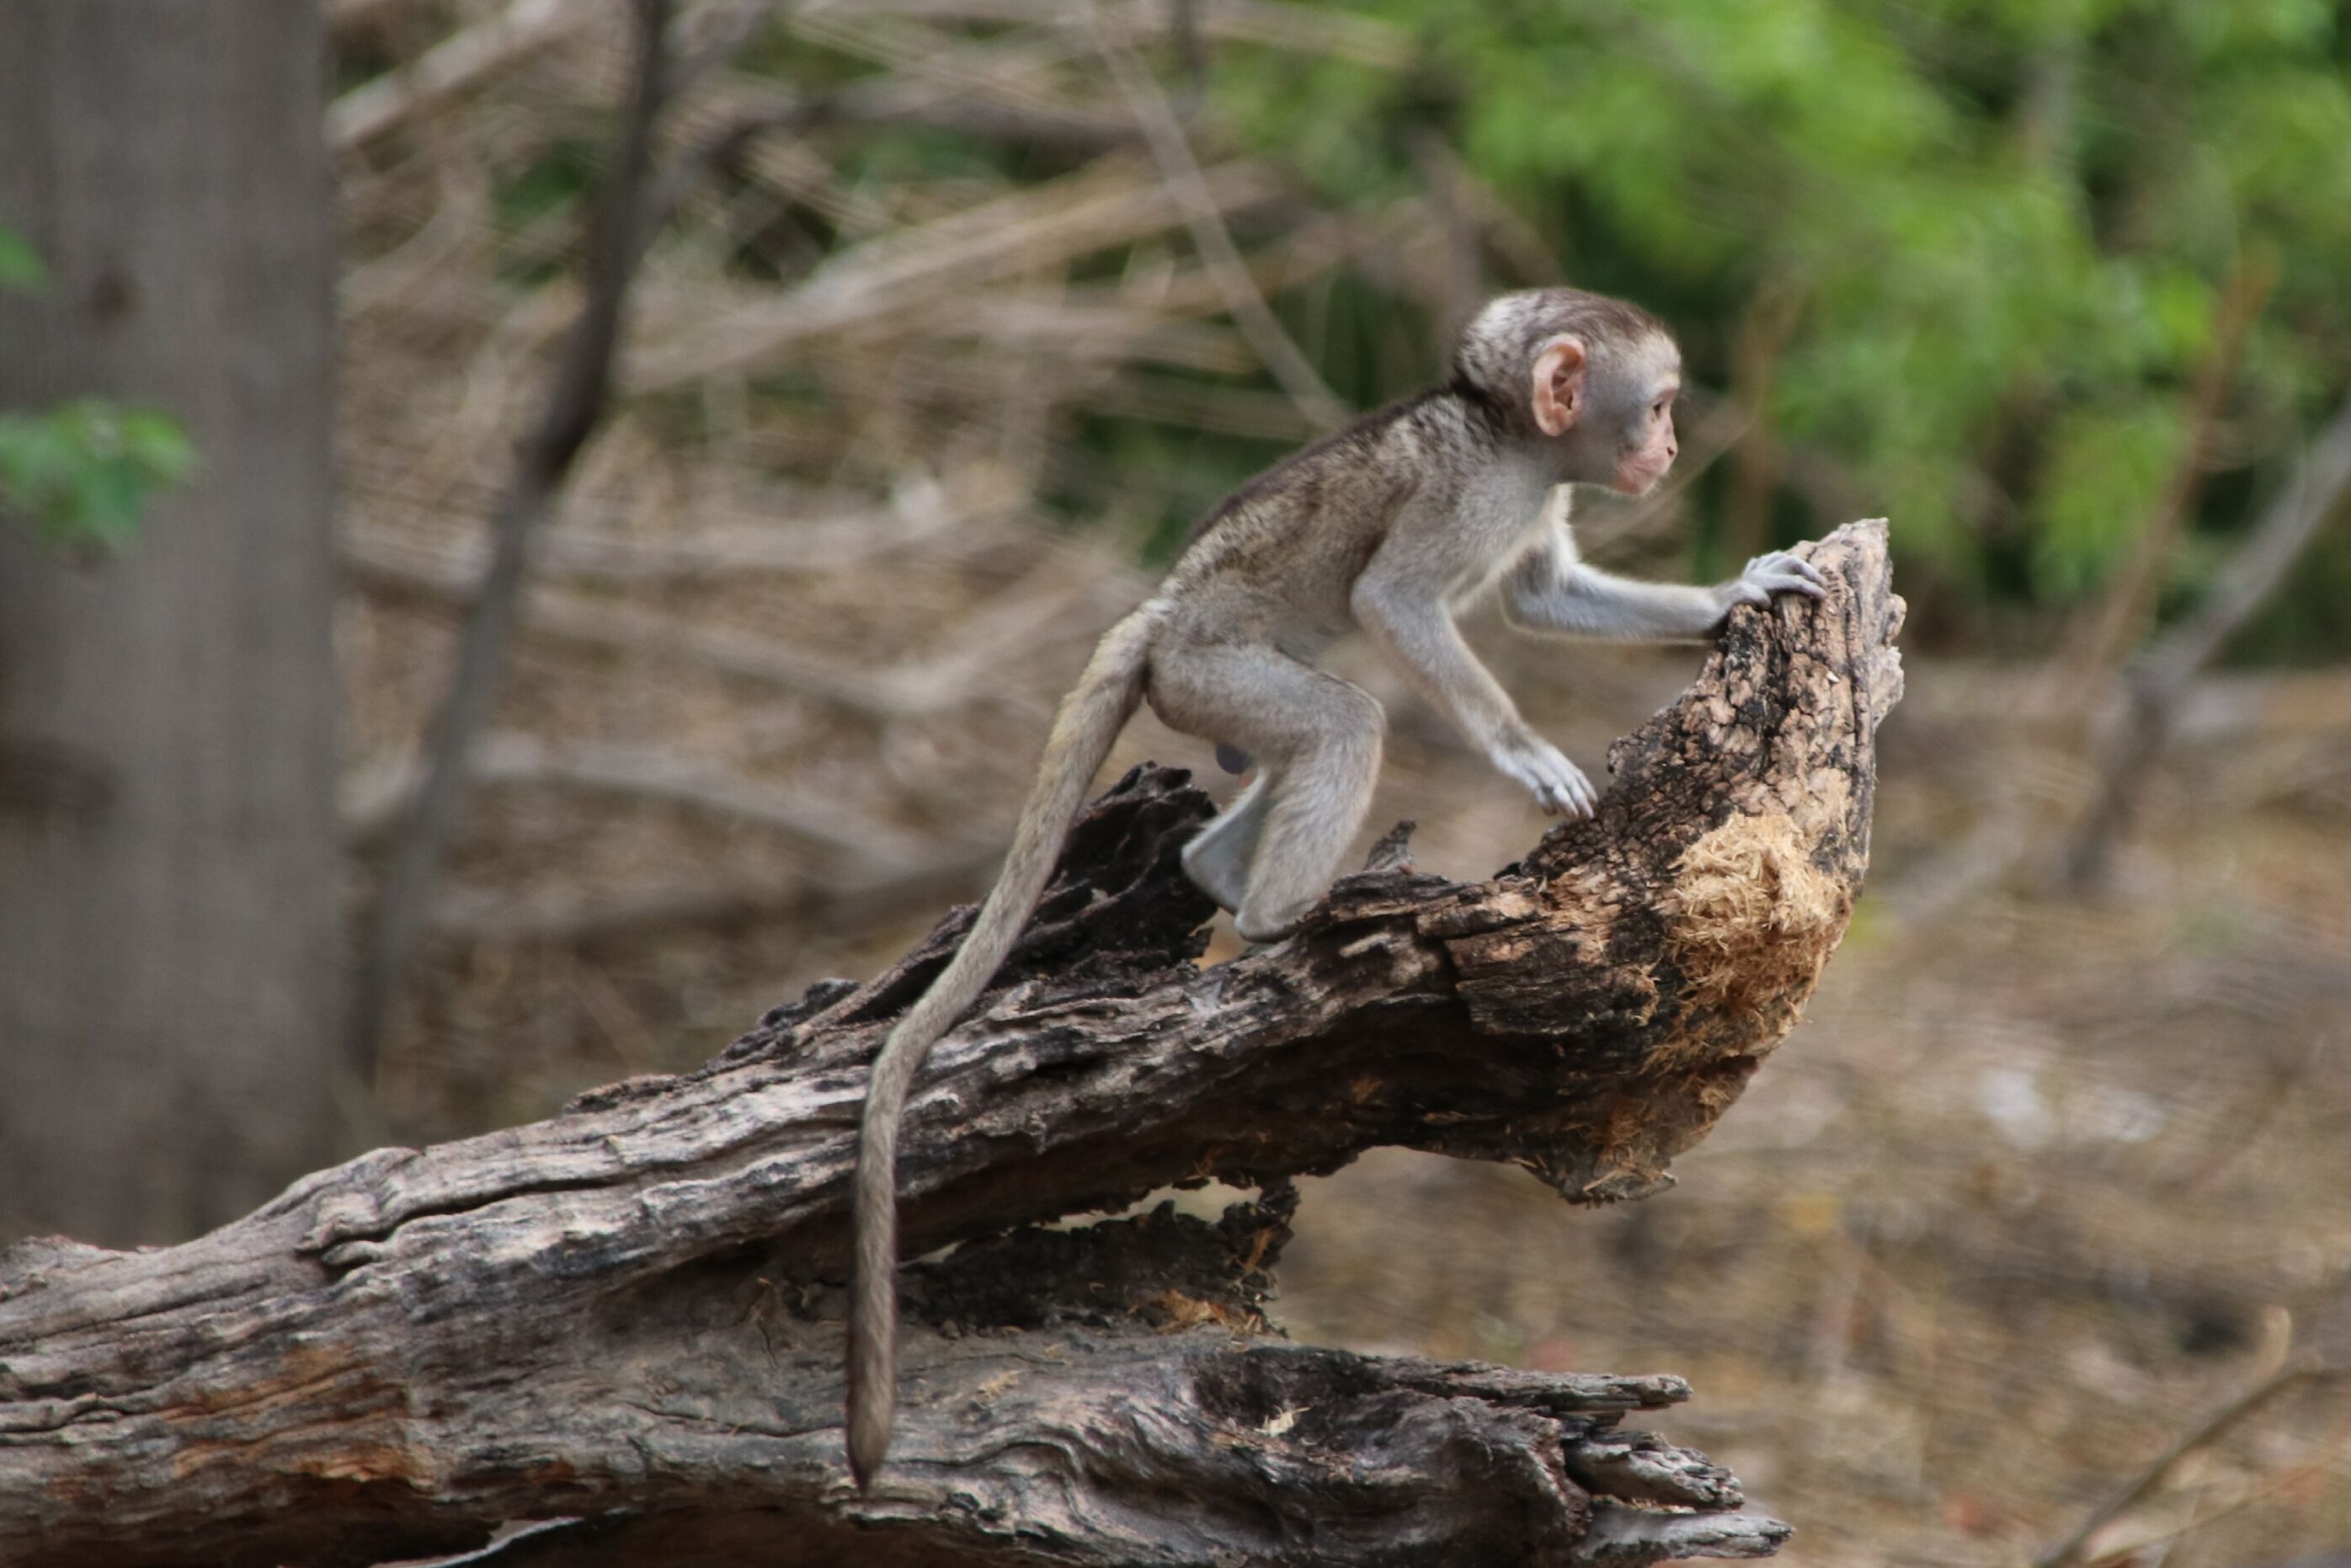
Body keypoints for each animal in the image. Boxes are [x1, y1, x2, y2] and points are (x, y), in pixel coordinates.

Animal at [843, 287, 1826, 1487]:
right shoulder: (1471, 495)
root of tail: (1162, 613)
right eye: (1655, 406)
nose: (1671, 447)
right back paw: (1282, 914)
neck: (1502, 432)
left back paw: (1219, 872)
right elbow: (1395, 600)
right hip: (1212, 673)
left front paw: (1734, 590)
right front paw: (1519, 750)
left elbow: (1543, 597)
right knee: (1347, 716)